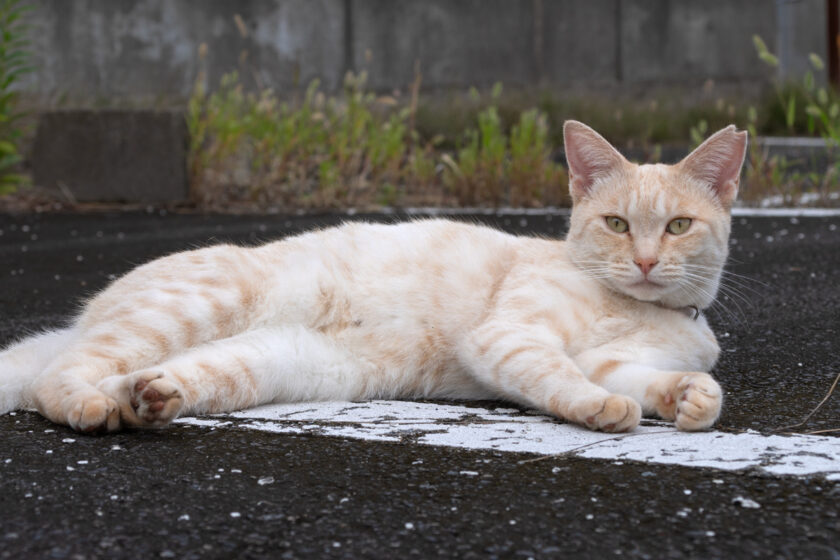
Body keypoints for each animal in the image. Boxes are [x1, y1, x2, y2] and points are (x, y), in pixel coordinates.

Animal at [0, 121, 748, 434]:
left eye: (677, 226)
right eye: (618, 225)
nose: (645, 262)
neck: (637, 307)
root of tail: (80, 318)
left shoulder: (617, 360)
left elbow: (649, 379)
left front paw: (692, 400)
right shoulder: (510, 337)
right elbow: (565, 377)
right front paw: (603, 410)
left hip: (255, 364)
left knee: (134, 376)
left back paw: (146, 399)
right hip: (191, 307)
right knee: (52, 380)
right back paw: (95, 407)